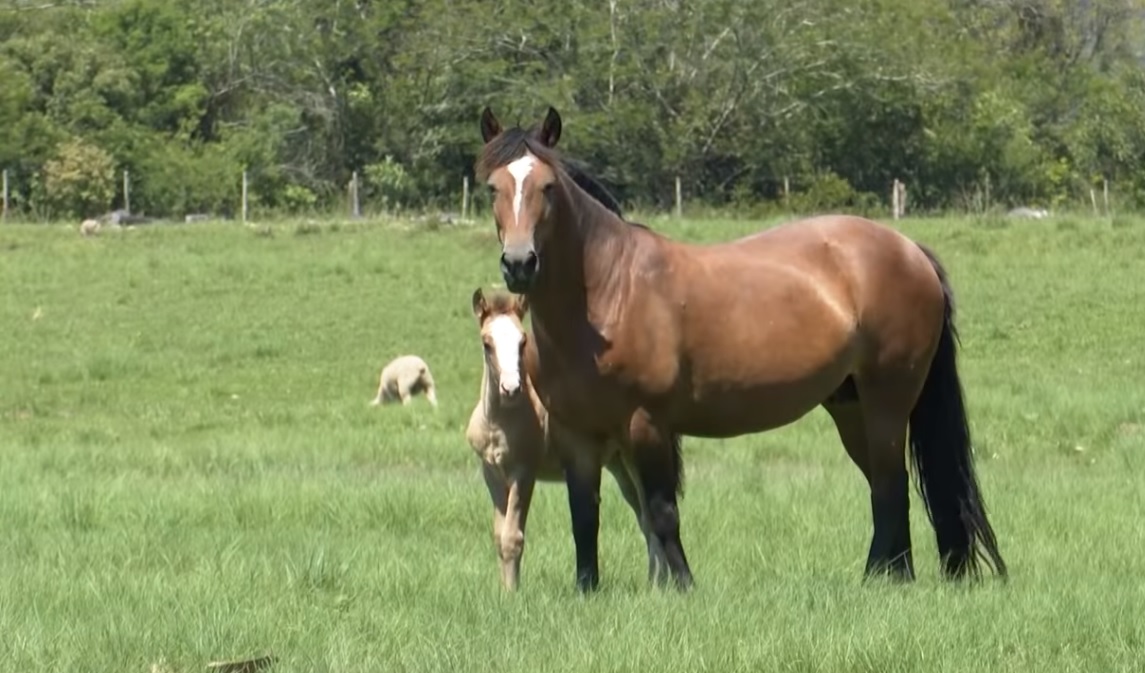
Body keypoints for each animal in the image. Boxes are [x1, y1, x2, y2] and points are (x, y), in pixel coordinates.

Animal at [465, 288, 658, 590]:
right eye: (487, 343)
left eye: (523, 342)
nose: (511, 388)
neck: (500, 422)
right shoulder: (491, 471)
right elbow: (499, 535)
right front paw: (505, 590)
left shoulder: (524, 471)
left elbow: (513, 536)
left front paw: (513, 594)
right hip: (615, 464)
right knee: (642, 515)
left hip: (630, 458)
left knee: (649, 516)